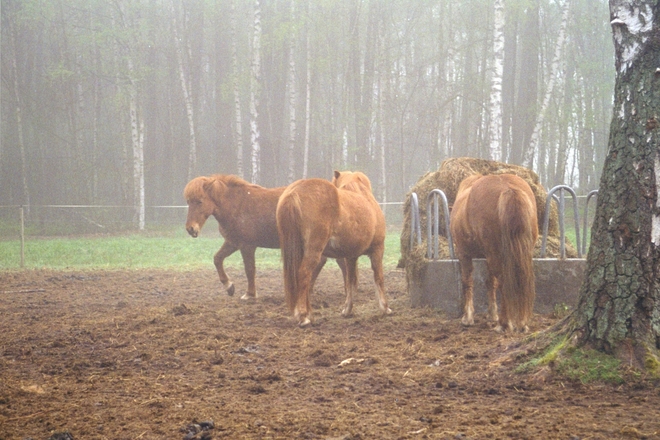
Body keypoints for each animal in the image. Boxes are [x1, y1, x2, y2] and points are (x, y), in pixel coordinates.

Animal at [183, 174, 328, 300]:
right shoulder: (232, 243)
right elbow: (217, 259)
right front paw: (229, 286)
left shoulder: (247, 246)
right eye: (189, 202)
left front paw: (250, 294)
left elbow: (249, 269)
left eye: (200, 201)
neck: (236, 204)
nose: (191, 229)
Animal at [274, 169, 390, 326]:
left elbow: (350, 281)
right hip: (314, 251)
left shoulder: (350, 257)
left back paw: (309, 314)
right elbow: (378, 278)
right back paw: (304, 316)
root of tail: (294, 193)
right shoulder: (377, 249)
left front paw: (347, 310)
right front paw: (385, 308)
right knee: (304, 274)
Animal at [452, 174, 540, 332]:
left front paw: (468, 317)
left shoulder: (463, 253)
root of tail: (508, 189)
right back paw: (521, 322)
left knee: (503, 283)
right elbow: (490, 283)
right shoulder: (488, 256)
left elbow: (467, 281)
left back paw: (504, 323)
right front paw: (492, 314)